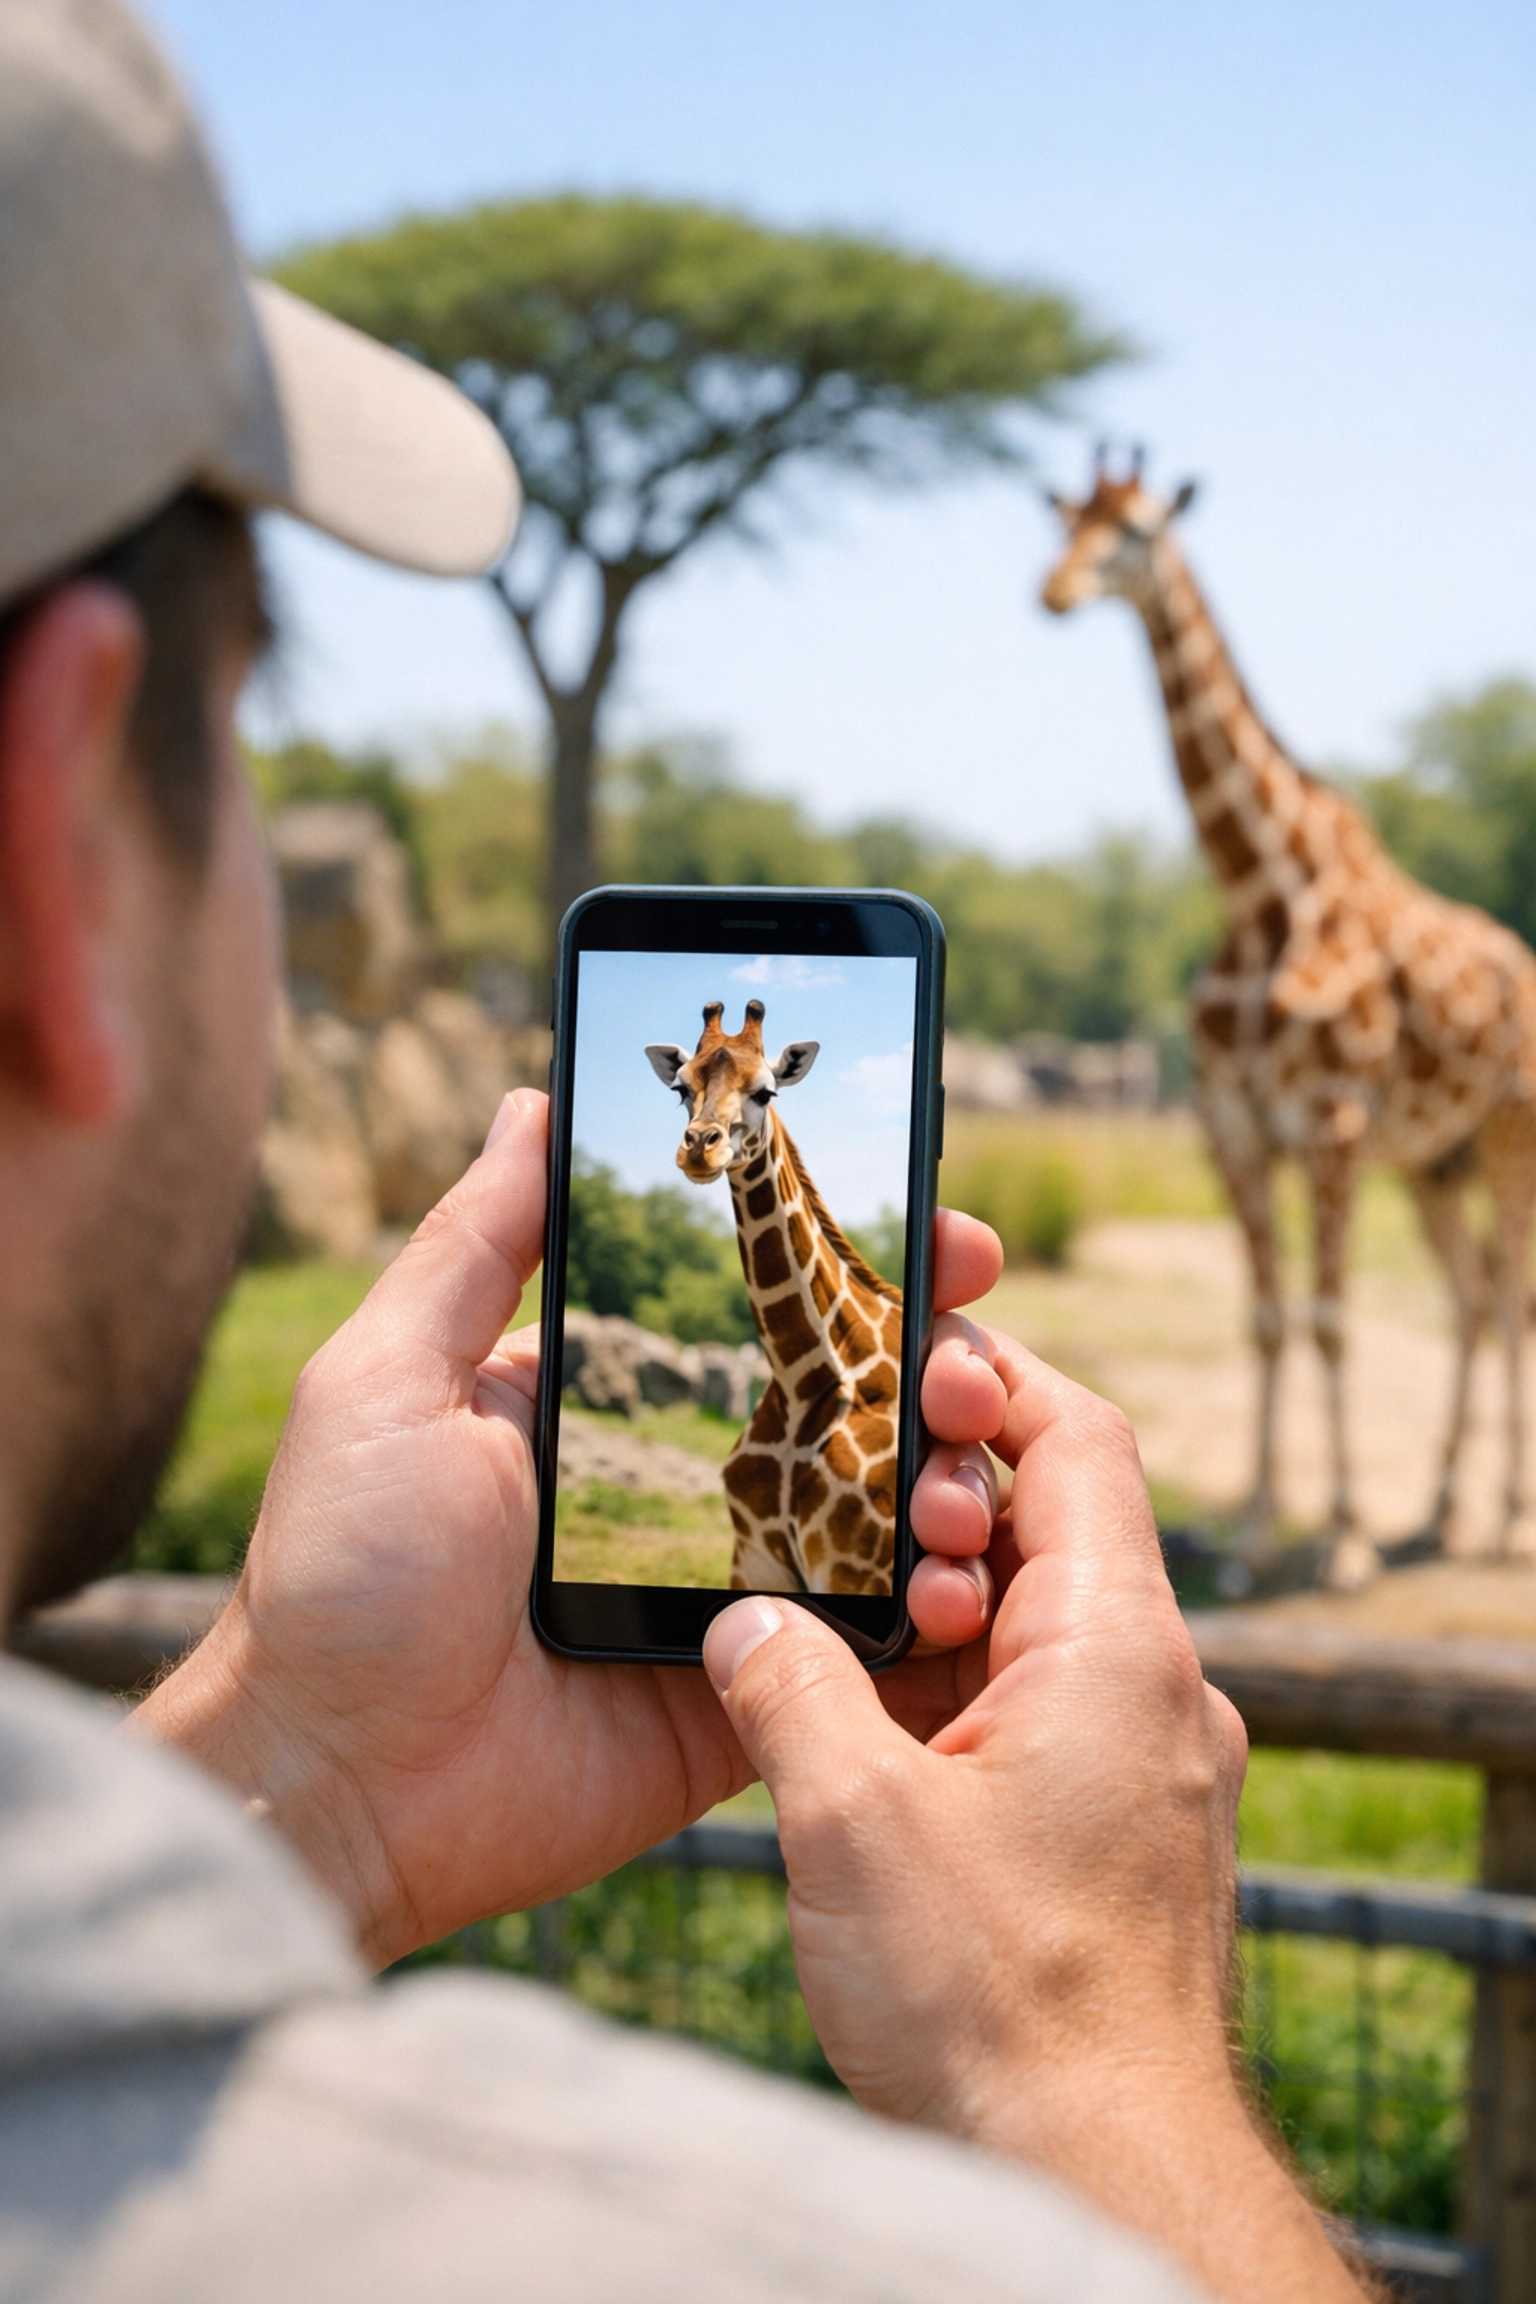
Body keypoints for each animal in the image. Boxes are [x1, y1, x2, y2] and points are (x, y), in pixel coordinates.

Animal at [644, 999, 904, 1594]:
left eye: (766, 1092)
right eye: (681, 1088)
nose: (700, 1148)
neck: (801, 1380)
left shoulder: (852, 1572)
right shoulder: (755, 1557)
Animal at [1040, 456, 1536, 1575]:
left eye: (1137, 531)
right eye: (1067, 522)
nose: (1054, 592)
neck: (1264, 895)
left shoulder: (1332, 1123)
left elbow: (1331, 1320)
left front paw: (1344, 1542)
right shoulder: (1235, 1125)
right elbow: (1268, 1319)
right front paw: (1255, 1538)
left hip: (1507, 1132)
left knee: (1514, 1295)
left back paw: (1507, 1523)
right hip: (1433, 1160)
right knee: (1474, 1296)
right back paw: (1439, 1513)